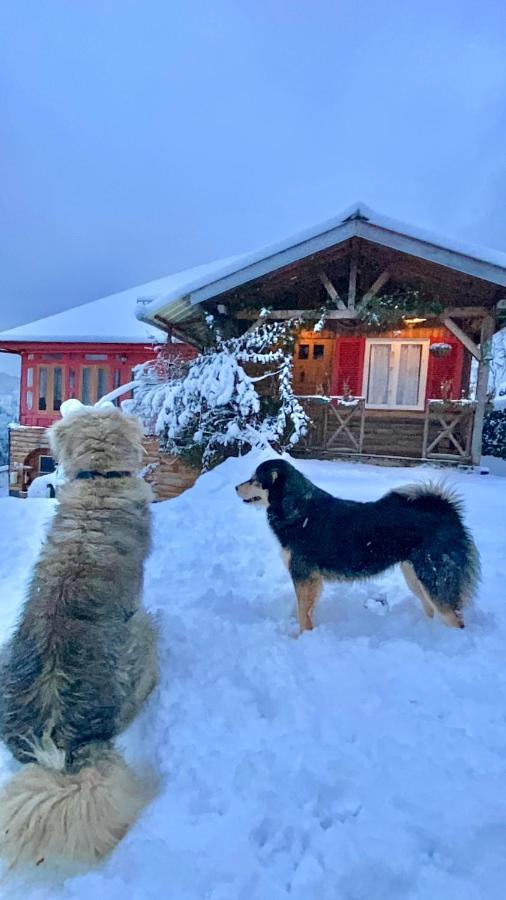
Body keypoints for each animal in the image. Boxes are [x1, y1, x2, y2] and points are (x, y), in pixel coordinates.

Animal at [235, 460, 480, 636]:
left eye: (255, 479)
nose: (236, 487)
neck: (298, 508)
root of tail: (448, 513)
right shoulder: (312, 580)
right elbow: (307, 610)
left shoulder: (304, 576)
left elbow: (304, 613)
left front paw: (301, 638)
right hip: (416, 578)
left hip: (435, 579)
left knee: (455, 619)